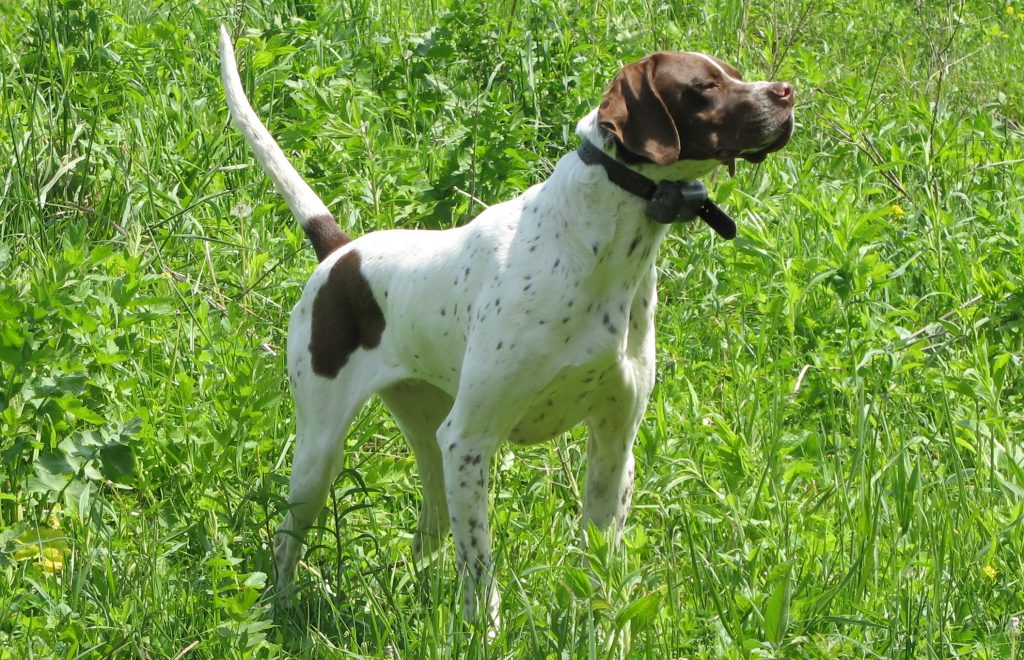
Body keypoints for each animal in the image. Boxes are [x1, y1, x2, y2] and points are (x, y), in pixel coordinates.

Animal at [218, 24, 790, 622]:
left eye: (734, 73)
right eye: (704, 86)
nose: (786, 93)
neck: (598, 247)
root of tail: (341, 252)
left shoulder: (614, 445)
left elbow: (598, 567)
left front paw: (599, 628)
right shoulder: (469, 441)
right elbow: (481, 573)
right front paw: (486, 632)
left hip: (429, 444)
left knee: (426, 534)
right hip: (322, 454)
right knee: (286, 543)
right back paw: (283, 611)